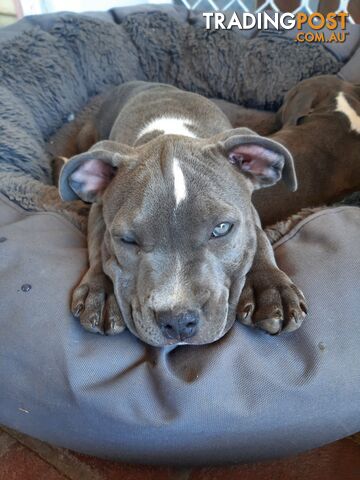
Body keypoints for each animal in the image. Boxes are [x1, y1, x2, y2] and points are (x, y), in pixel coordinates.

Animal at [59, 81, 306, 344]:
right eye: (127, 240)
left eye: (221, 229)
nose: (177, 320)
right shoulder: (97, 208)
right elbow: (98, 246)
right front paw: (100, 294)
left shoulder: (249, 212)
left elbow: (259, 239)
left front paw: (271, 288)